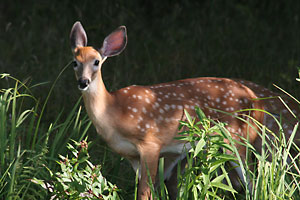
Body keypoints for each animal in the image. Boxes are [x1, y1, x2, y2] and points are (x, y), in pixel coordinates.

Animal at [68, 21, 298, 199]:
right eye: (74, 62)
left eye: (97, 61)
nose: (83, 82)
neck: (114, 112)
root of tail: (256, 101)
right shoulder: (132, 156)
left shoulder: (151, 142)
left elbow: (145, 193)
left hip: (236, 139)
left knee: (253, 181)